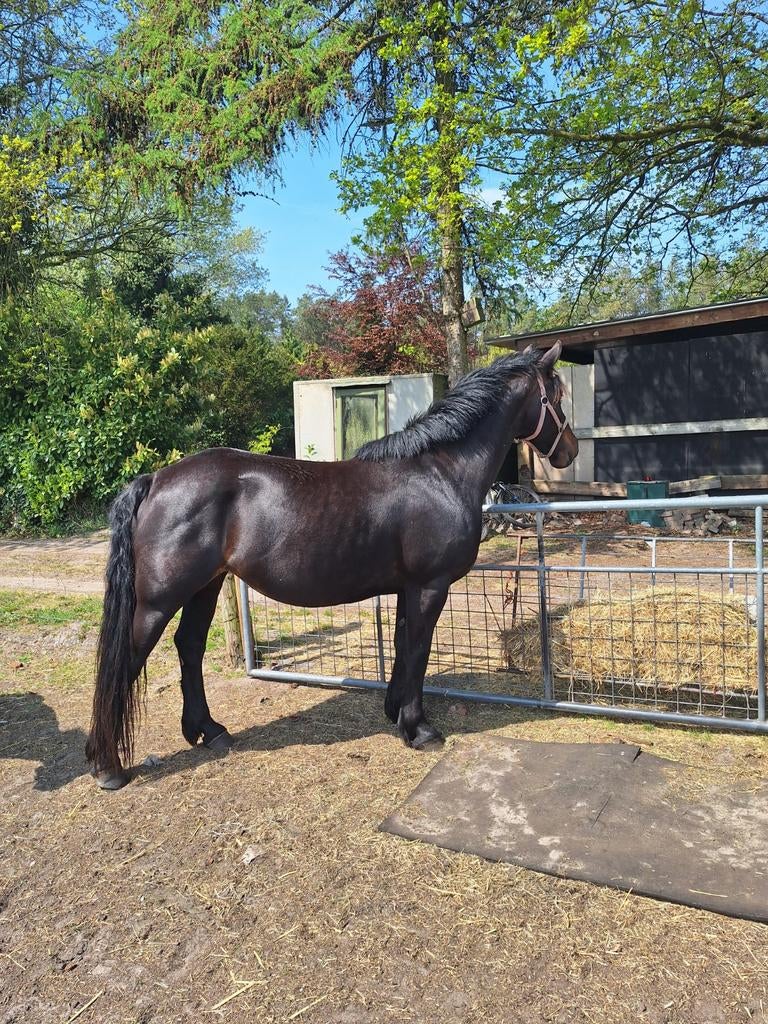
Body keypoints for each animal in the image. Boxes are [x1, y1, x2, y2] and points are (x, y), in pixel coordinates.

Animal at [86, 341, 577, 789]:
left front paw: (395, 713)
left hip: (205, 586)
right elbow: (418, 650)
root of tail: (154, 480)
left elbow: (401, 646)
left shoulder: (408, 588)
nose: (569, 452)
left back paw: (209, 731)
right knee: (127, 660)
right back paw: (107, 765)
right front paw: (419, 729)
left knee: (189, 647)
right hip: (159, 600)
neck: (440, 472)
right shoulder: (430, 585)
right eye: (557, 395)